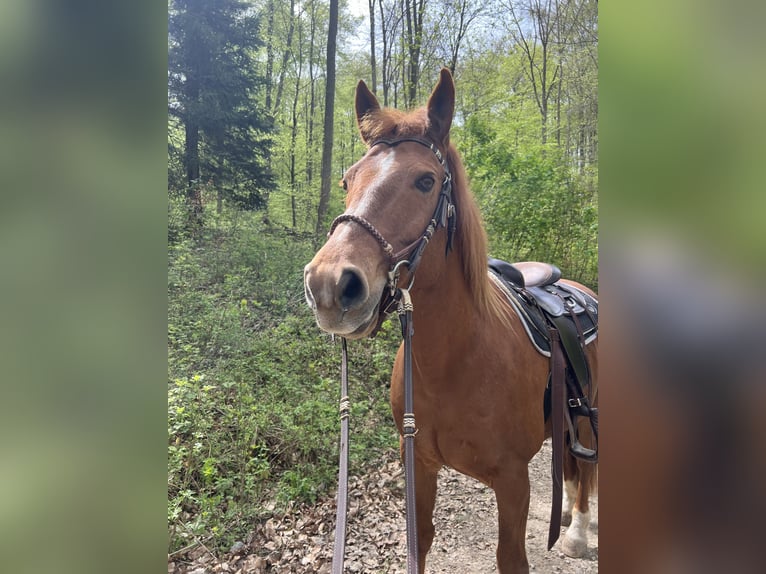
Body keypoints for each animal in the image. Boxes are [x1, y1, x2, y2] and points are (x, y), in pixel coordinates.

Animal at [306, 70, 600, 572]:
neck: (457, 360)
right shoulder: (419, 466)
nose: (329, 285)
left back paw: (578, 531)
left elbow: (511, 557)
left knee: (586, 466)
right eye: (347, 180)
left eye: (426, 181)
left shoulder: (513, 480)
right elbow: (419, 541)